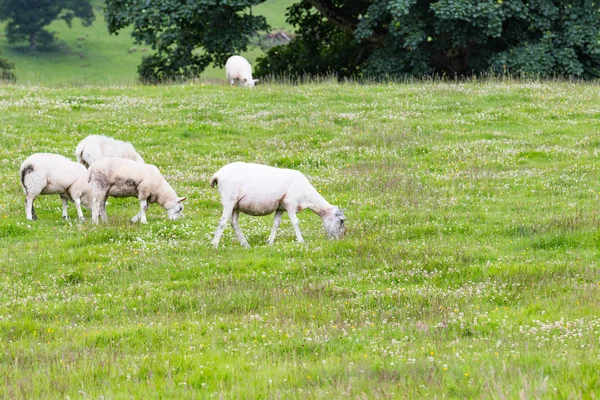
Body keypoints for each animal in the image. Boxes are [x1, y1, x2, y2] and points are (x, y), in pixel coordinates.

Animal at [210, 162, 344, 248]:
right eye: (342, 221)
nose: (341, 239)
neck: (307, 198)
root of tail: (217, 174)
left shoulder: (281, 207)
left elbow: (276, 224)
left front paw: (270, 242)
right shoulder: (290, 204)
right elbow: (296, 223)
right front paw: (301, 241)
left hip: (236, 205)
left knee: (234, 223)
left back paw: (245, 244)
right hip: (229, 199)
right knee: (222, 222)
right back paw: (215, 245)